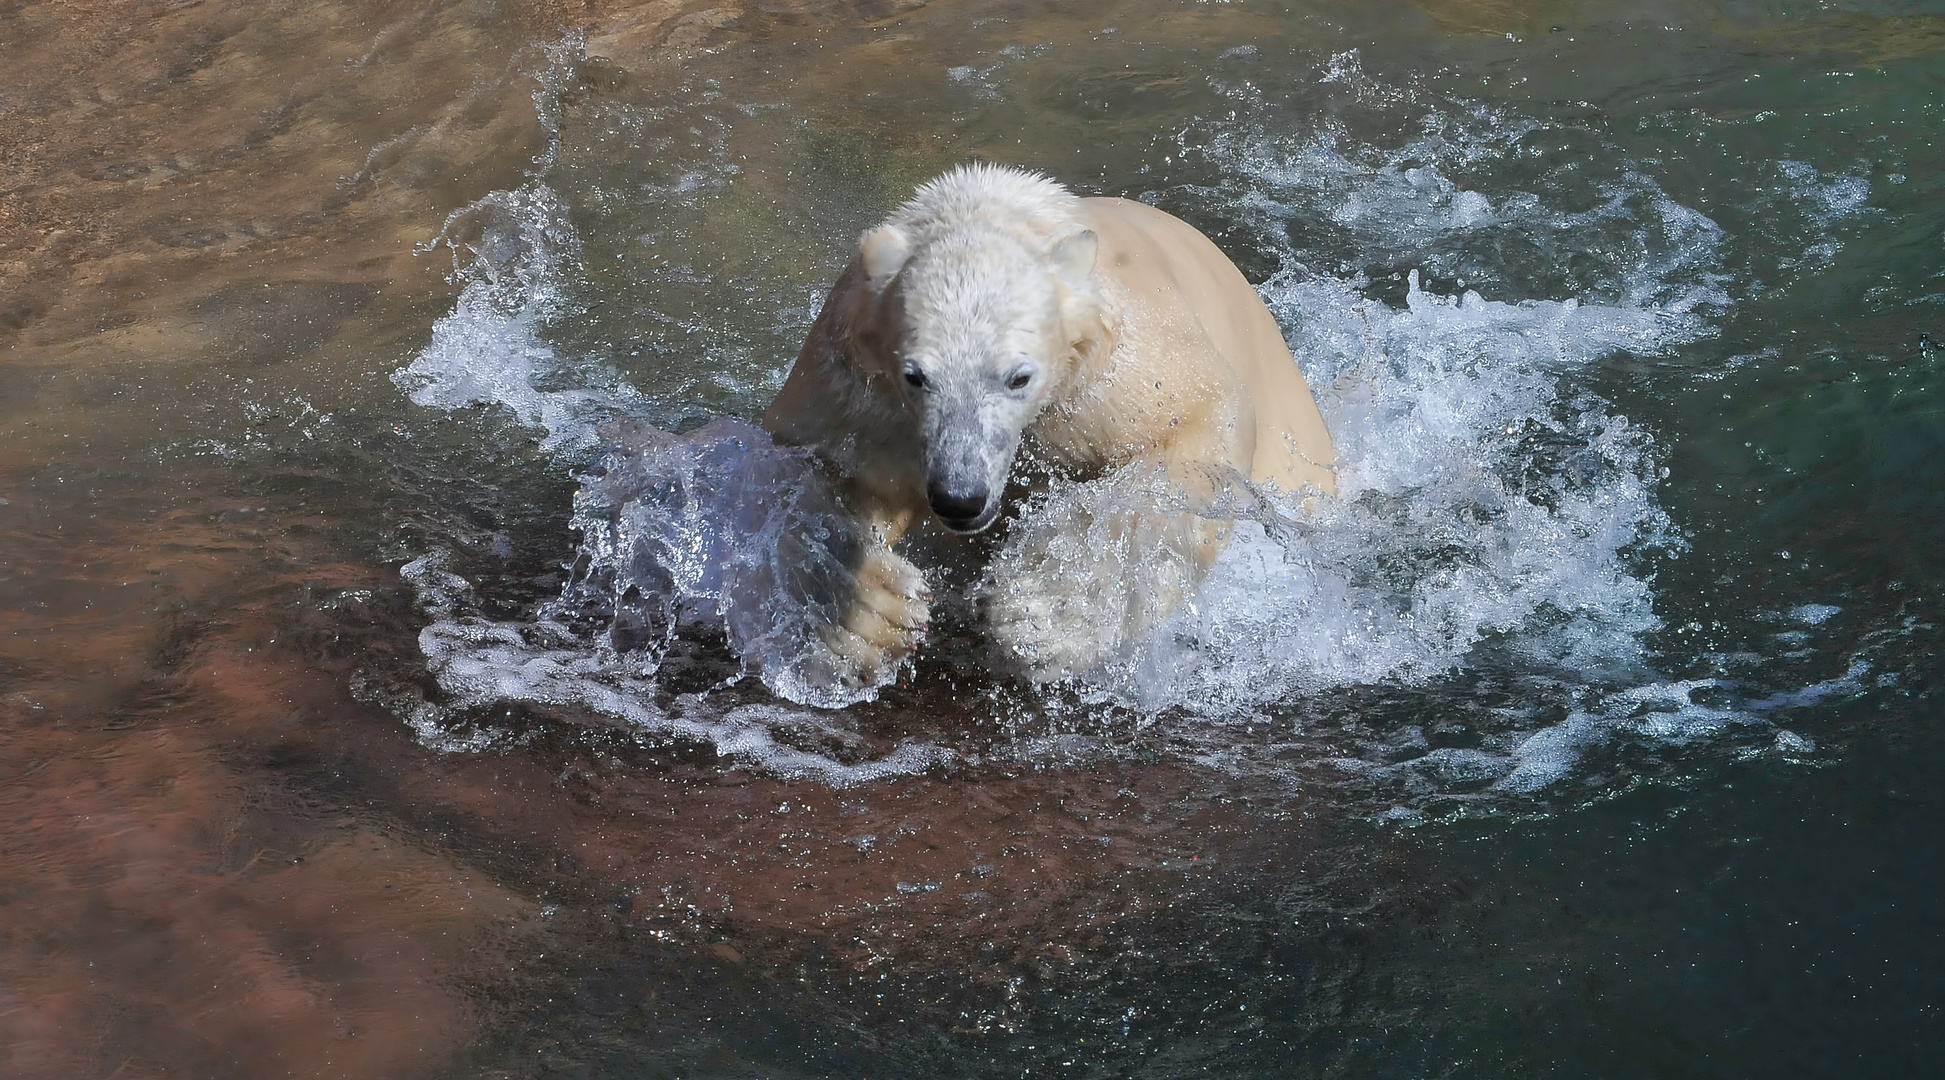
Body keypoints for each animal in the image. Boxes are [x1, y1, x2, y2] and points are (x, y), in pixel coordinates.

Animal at [762, 164, 1338, 688]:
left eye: (1019, 376)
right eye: (916, 376)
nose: (959, 497)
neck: (993, 208)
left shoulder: (1114, 367)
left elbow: (1194, 427)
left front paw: (1044, 608)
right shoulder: (859, 377)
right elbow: (824, 464)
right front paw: (870, 615)